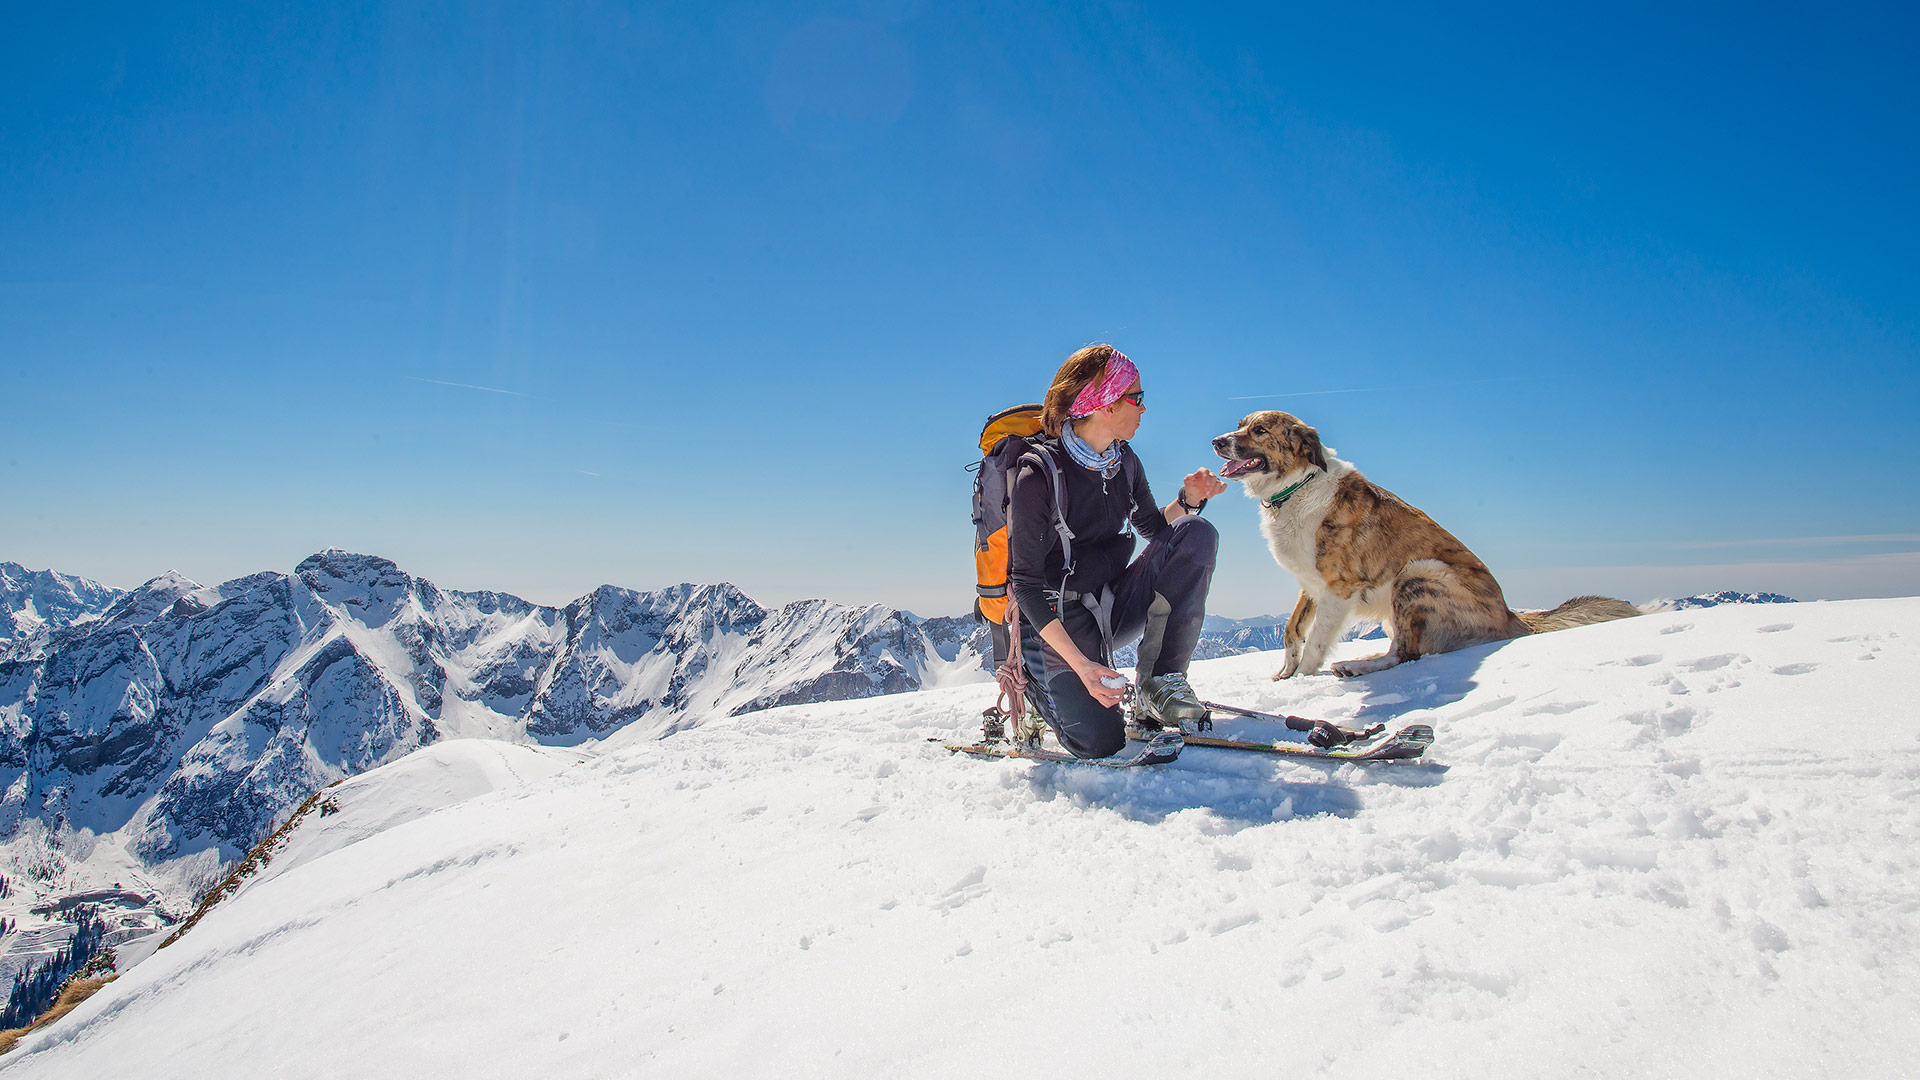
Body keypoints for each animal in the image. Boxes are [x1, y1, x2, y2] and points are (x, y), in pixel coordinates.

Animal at [1213, 407, 1635, 676]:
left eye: (1260, 431)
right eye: (1240, 425)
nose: (1216, 440)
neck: (1297, 487)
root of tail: (1510, 616)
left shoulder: (1338, 588)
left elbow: (1316, 640)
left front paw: (1301, 682)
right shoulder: (1310, 585)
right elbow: (1292, 630)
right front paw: (1284, 674)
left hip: (1418, 573)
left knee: (1407, 653)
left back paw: (1356, 666)